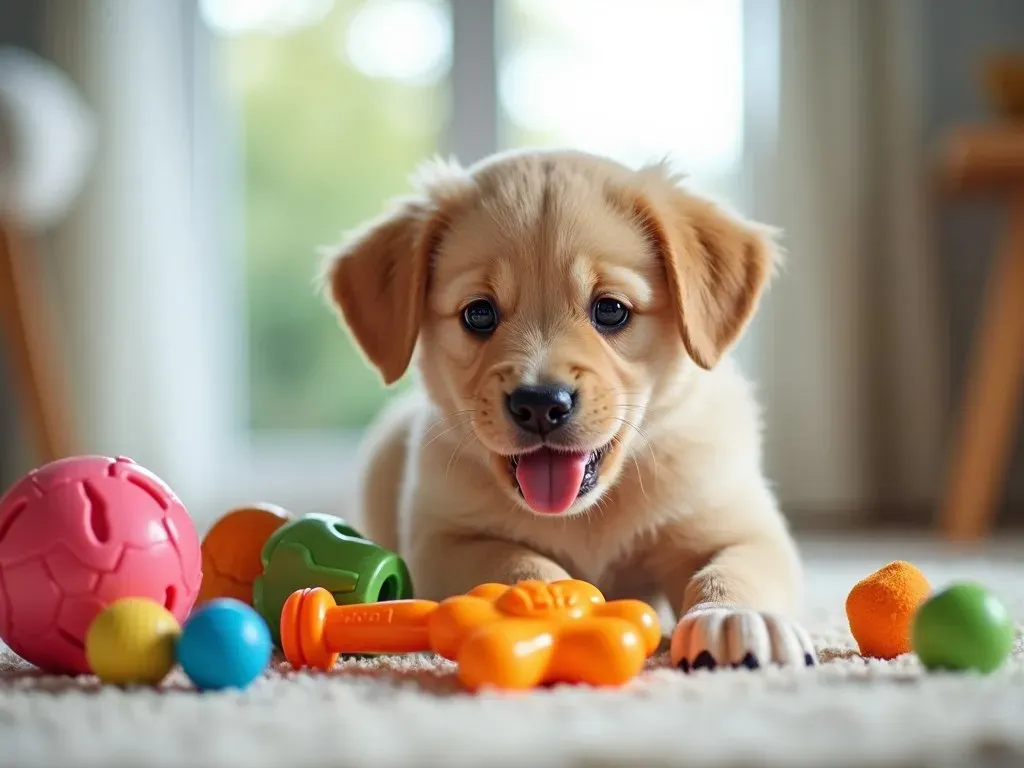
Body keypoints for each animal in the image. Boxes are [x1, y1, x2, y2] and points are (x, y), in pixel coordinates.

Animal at [319, 147, 815, 671]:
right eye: (478, 313)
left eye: (611, 310)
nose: (540, 404)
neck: (587, 516)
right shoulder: (445, 542)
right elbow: (520, 563)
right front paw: (552, 607)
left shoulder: (734, 524)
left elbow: (734, 569)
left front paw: (734, 617)